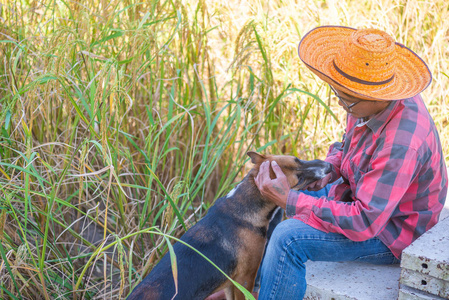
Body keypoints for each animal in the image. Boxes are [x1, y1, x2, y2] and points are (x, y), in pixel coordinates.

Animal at [128, 152, 330, 300]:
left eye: (298, 159)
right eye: (299, 178)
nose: (328, 166)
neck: (244, 204)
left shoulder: (231, 285)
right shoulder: (245, 279)